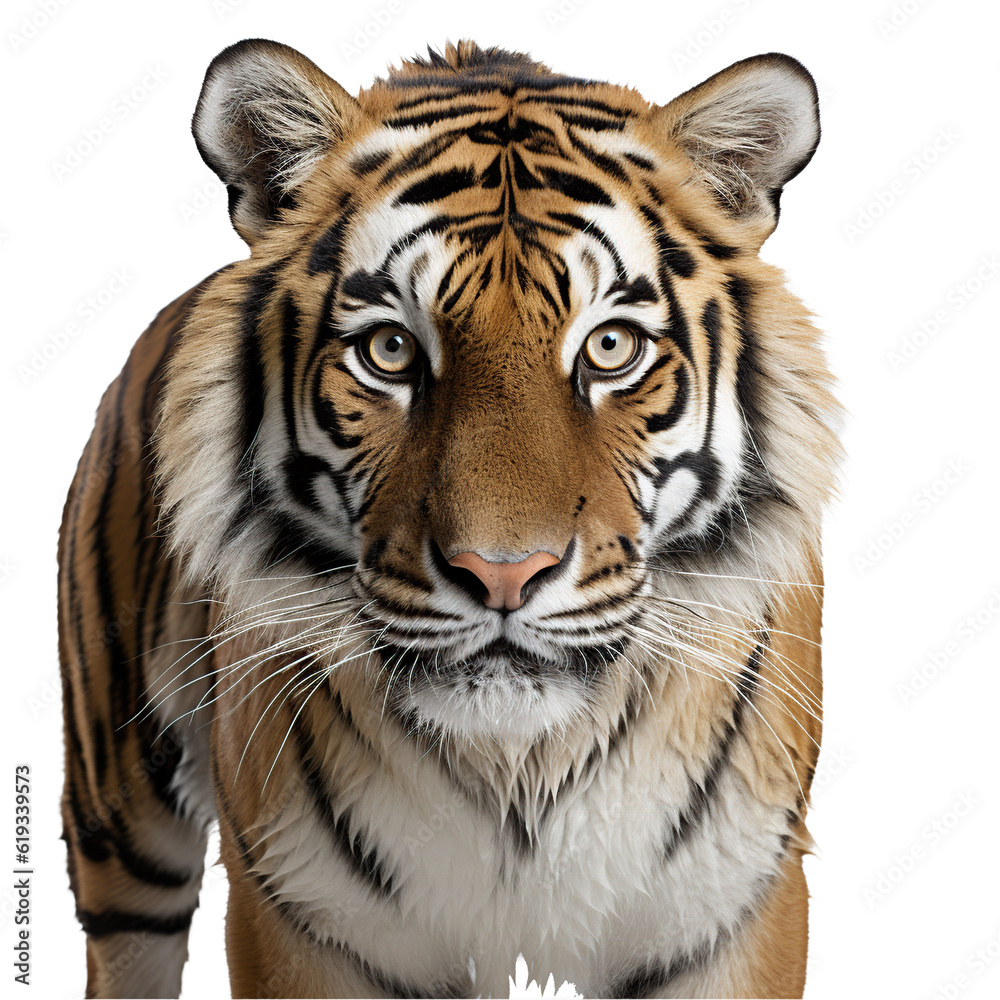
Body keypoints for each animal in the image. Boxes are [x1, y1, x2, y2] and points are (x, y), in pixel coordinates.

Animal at [58, 38, 840, 999]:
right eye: (391, 350)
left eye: (610, 346)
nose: (503, 574)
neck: (520, 767)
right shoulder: (306, 918)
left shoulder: (730, 910)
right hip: (124, 814)